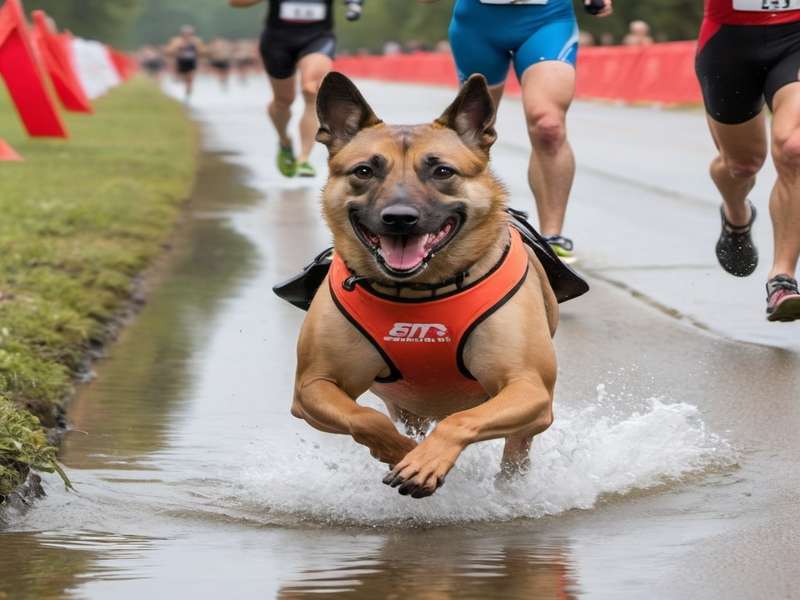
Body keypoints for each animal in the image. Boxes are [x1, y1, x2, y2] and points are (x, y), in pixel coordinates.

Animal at [290, 72, 564, 500]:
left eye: (442, 172)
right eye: (364, 171)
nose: (400, 217)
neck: (420, 292)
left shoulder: (528, 387)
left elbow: (462, 420)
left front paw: (425, 461)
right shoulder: (311, 387)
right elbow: (365, 419)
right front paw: (404, 453)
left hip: (530, 420)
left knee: (514, 449)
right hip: (405, 407)